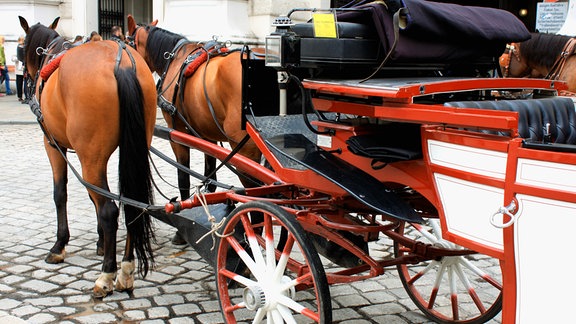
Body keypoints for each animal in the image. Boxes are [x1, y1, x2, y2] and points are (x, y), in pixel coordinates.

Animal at [18, 16, 158, 298]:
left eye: (23, 47)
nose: (26, 78)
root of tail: (121, 63)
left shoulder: (52, 145)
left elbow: (60, 193)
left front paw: (59, 245)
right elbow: (95, 198)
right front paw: (101, 242)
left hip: (89, 158)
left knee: (109, 210)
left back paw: (107, 275)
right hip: (131, 148)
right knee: (131, 206)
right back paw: (126, 271)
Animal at [126, 17, 260, 213]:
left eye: (126, 43)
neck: (174, 58)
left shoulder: (177, 134)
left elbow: (183, 177)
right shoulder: (209, 135)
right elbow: (210, 175)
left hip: (244, 150)